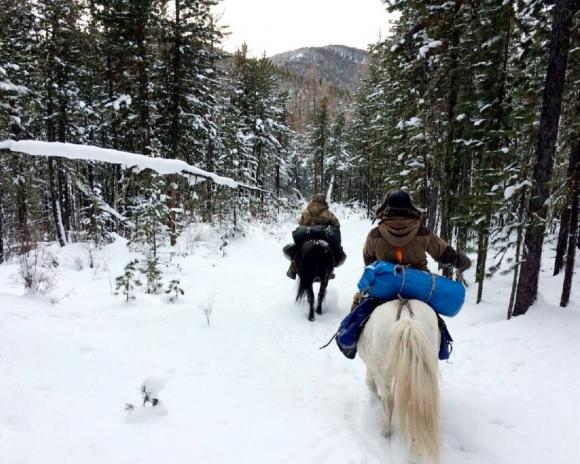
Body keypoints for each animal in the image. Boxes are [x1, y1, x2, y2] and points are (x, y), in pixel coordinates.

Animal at [358, 300, 440, 462]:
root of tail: (407, 320)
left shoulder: (371, 367)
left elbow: (369, 383)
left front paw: (374, 400)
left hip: (383, 373)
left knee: (389, 402)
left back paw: (385, 431)